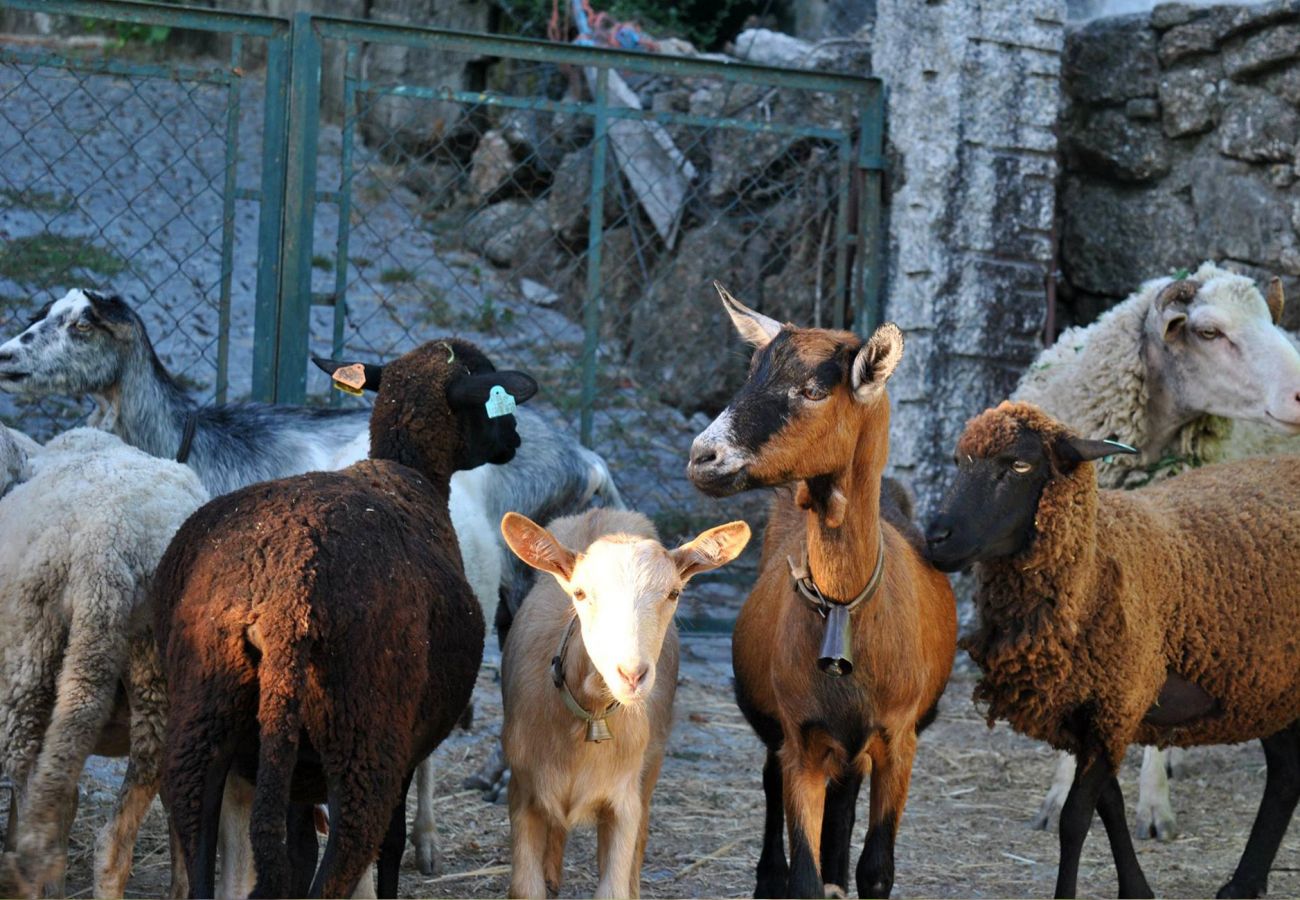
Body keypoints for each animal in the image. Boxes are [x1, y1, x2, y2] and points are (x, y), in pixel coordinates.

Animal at [153, 338, 538, 900]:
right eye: (492, 394)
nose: (514, 439)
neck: (409, 472)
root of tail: (281, 606)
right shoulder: (402, 749)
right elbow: (390, 845)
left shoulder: (295, 774)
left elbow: (297, 850)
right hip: (364, 742)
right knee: (350, 851)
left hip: (201, 728)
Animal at [686, 288, 951, 900]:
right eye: (752, 374)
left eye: (813, 389)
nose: (702, 457)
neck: (845, 608)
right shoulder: (800, 739)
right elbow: (801, 878)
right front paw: (802, 877)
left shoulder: (899, 741)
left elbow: (876, 871)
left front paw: (845, 875)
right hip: (780, 731)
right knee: (771, 785)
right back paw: (771, 876)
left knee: (845, 796)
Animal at [930, 403, 1300, 900]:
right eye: (957, 461)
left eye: (1020, 465)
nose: (935, 537)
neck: (1096, 562)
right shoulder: (1084, 712)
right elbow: (1111, 806)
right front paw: (1137, 889)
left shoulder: (1118, 702)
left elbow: (1074, 819)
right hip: (1263, 682)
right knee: (1286, 772)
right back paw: (1244, 883)